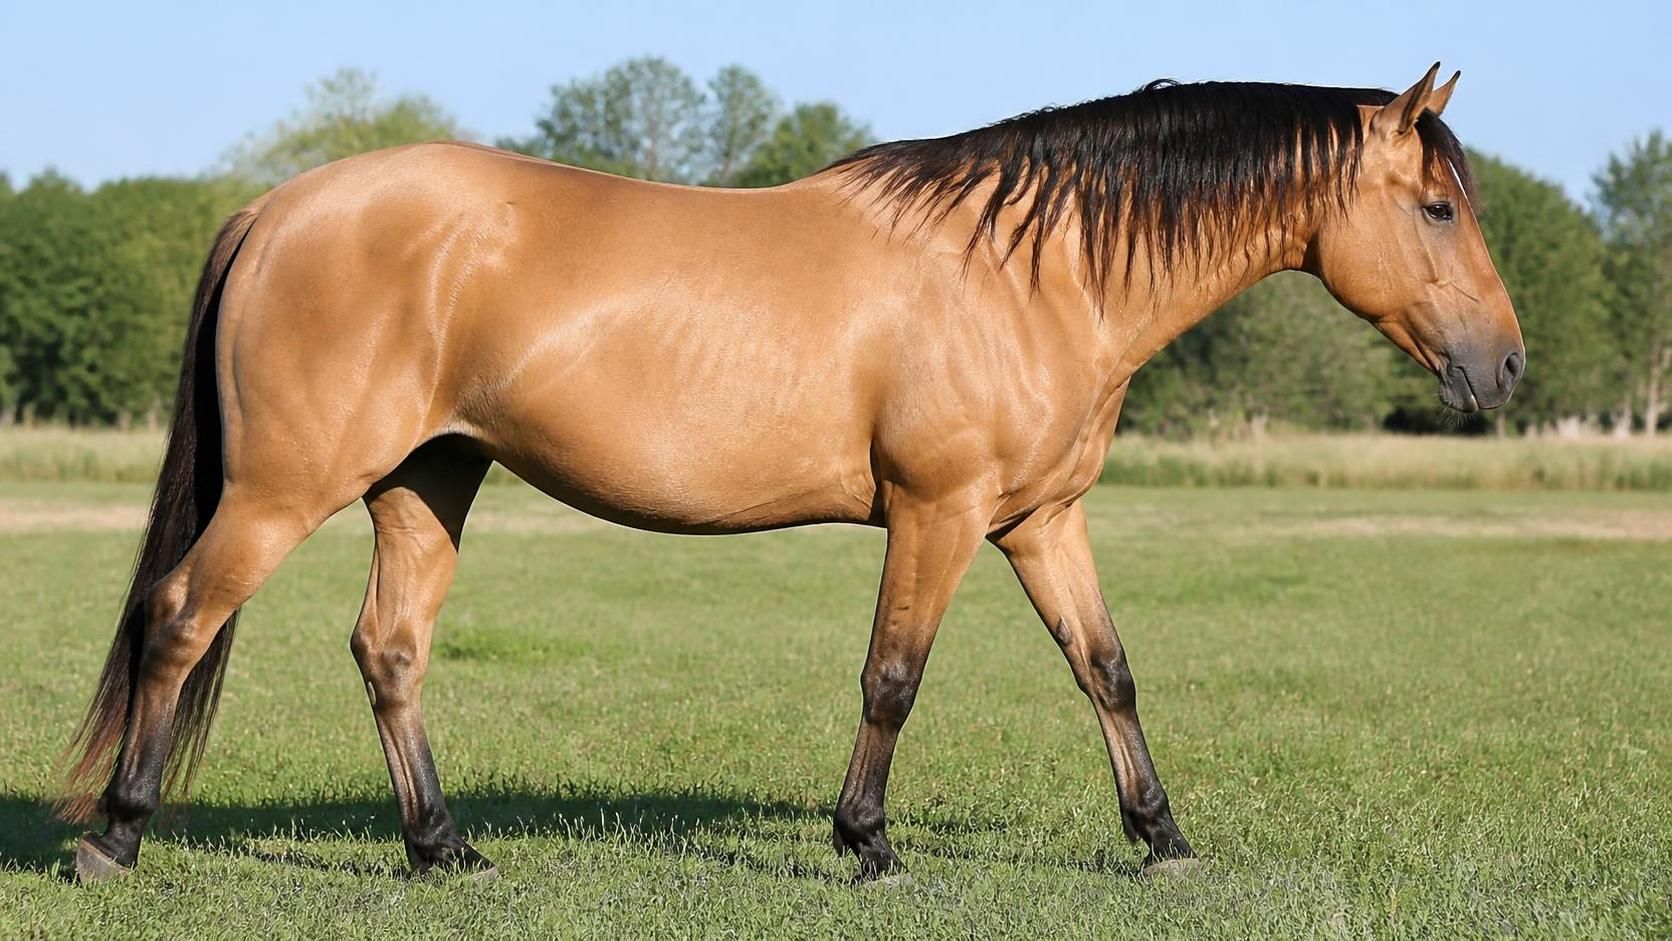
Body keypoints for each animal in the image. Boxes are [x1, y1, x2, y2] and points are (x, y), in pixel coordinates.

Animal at [60, 62, 1522, 884]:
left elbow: (1105, 669)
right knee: (178, 616)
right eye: (1438, 208)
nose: (1503, 369)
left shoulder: (1040, 519)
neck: (1027, 273)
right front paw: (865, 843)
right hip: (284, 488)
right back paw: (113, 836)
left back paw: (442, 849)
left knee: (389, 648)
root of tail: (277, 207)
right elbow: (893, 676)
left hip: (432, 478)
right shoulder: (939, 514)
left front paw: (1161, 840)